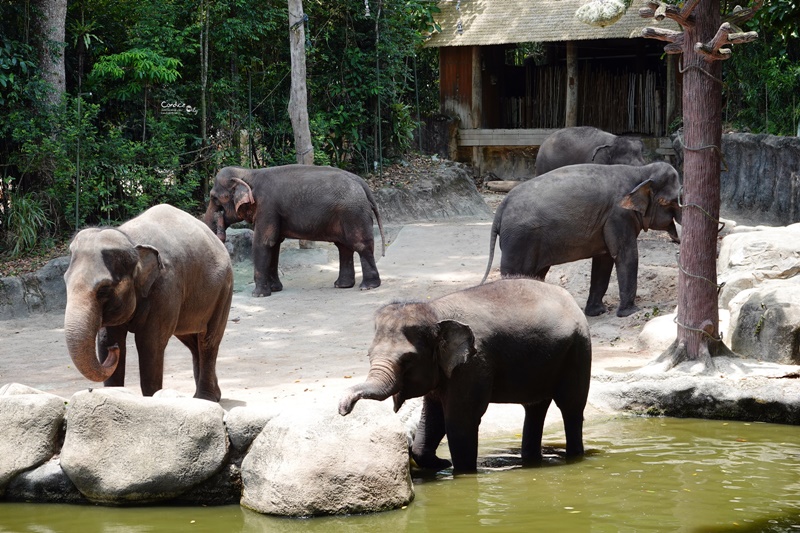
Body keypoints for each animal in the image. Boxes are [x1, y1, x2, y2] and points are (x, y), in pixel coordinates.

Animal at [63, 204, 233, 400]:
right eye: (65, 282)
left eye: (103, 289)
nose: (115, 350)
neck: (131, 241)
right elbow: (107, 340)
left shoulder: (165, 289)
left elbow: (150, 345)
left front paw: (151, 399)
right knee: (192, 341)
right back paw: (211, 396)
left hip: (224, 290)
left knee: (208, 340)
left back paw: (205, 398)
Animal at [202, 164, 386, 298]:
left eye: (214, 198)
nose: (219, 218)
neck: (248, 173)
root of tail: (361, 182)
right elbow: (274, 245)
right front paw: (275, 289)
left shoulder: (267, 207)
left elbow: (263, 242)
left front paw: (259, 295)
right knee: (344, 247)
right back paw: (342, 285)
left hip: (353, 213)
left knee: (360, 245)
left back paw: (367, 287)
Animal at [338, 276, 592, 472]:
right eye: (369, 354)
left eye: (407, 359)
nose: (343, 409)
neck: (435, 312)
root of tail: (571, 300)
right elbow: (434, 415)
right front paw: (441, 463)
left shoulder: (473, 365)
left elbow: (460, 421)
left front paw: (461, 471)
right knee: (535, 407)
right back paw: (531, 460)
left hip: (578, 351)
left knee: (571, 407)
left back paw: (574, 457)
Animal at [482, 161, 680, 316]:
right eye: (669, 202)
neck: (641, 171)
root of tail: (501, 208)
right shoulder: (619, 215)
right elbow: (625, 254)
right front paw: (631, 312)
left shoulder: (607, 221)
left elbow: (604, 260)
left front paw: (596, 312)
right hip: (518, 241)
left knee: (536, 274)